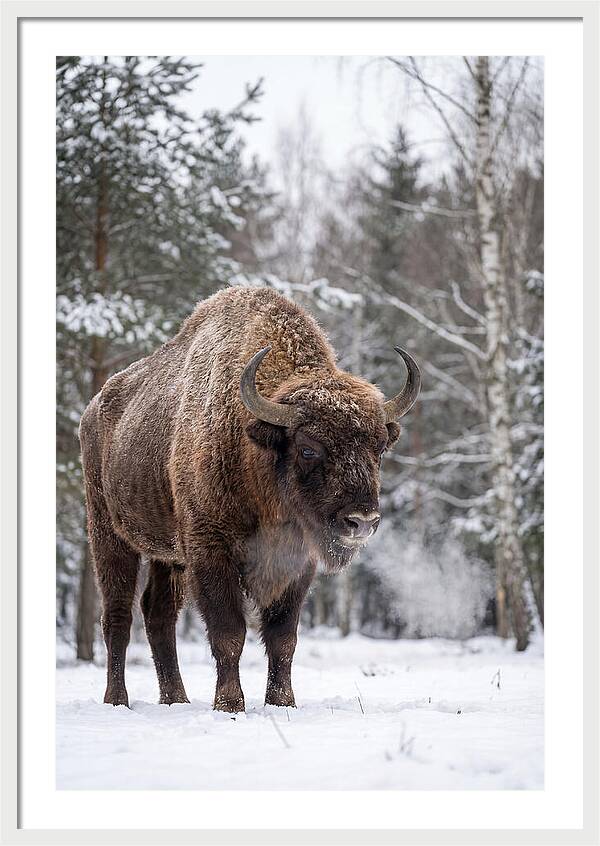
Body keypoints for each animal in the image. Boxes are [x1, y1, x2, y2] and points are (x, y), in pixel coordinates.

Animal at [79, 286, 420, 711]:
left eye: (378, 448)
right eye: (308, 448)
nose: (362, 521)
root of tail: (93, 410)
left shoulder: (297, 563)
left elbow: (282, 638)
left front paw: (282, 703)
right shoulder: (210, 552)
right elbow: (229, 633)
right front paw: (229, 705)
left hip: (166, 554)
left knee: (158, 615)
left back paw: (176, 700)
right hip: (109, 533)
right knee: (118, 617)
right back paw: (117, 700)